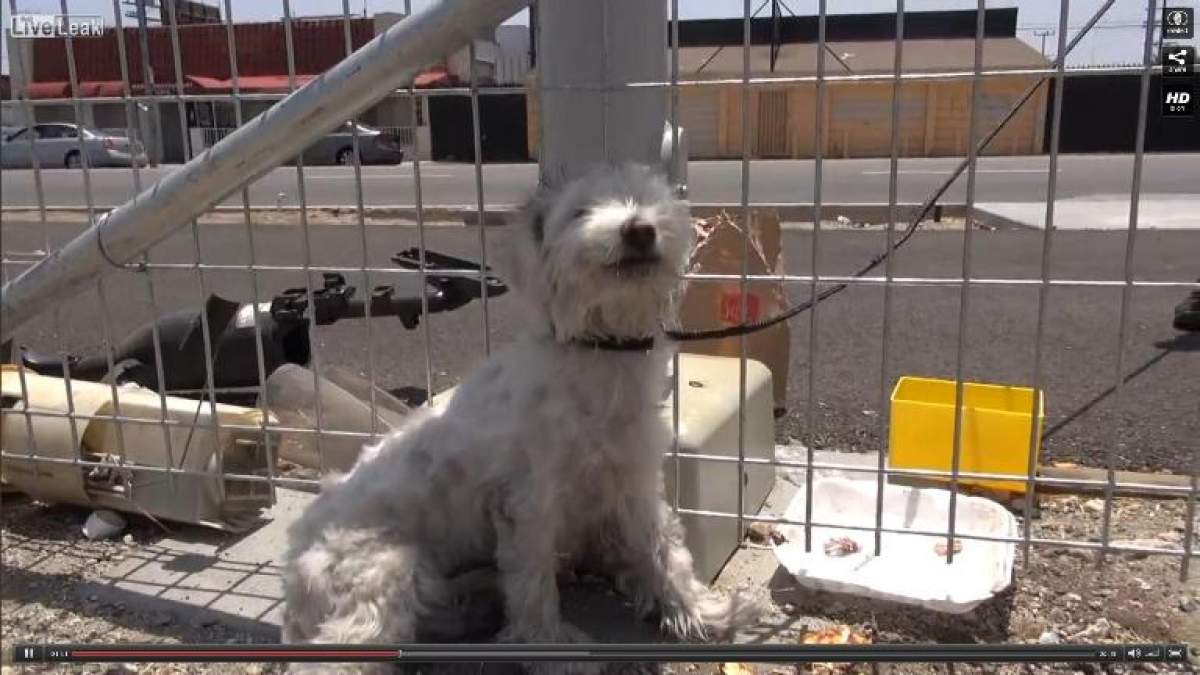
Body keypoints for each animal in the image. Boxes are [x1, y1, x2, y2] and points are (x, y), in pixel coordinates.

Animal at [283, 162, 758, 667]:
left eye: (648, 200)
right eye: (579, 212)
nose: (639, 229)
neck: (597, 353)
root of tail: (293, 570)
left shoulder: (633, 481)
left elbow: (665, 551)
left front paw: (701, 613)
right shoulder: (527, 502)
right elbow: (532, 582)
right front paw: (550, 647)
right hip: (382, 568)